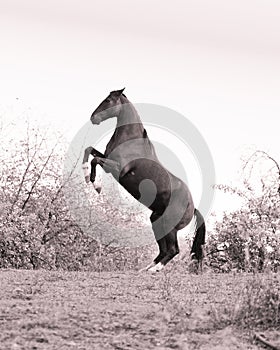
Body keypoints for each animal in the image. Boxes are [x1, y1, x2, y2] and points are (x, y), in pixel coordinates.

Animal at [81, 89, 206, 272]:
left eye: (109, 100)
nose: (93, 118)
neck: (130, 140)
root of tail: (192, 207)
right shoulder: (107, 158)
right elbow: (89, 150)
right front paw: (85, 175)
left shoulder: (117, 168)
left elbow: (95, 160)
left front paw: (96, 185)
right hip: (156, 220)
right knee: (163, 250)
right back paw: (145, 270)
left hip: (169, 226)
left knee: (173, 250)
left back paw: (155, 270)